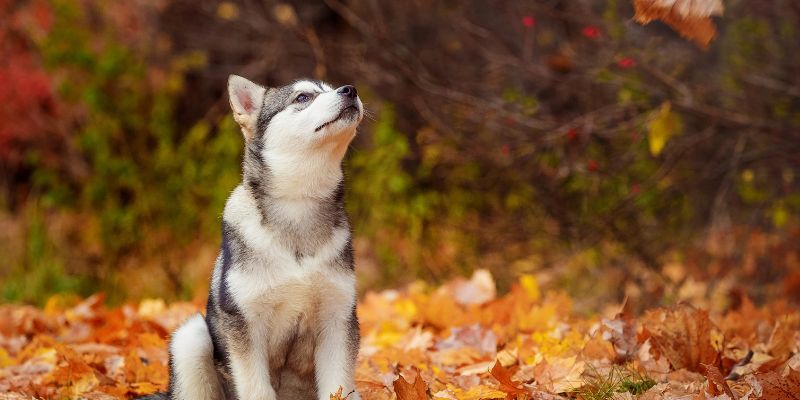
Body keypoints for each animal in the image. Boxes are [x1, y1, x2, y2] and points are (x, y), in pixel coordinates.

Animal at [143, 76, 362, 400]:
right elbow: (257, 388)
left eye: (330, 87)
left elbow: (340, 386)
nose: (350, 90)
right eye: (303, 97)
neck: (298, 206)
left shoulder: (338, 319)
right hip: (191, 337)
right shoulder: (245, 324)